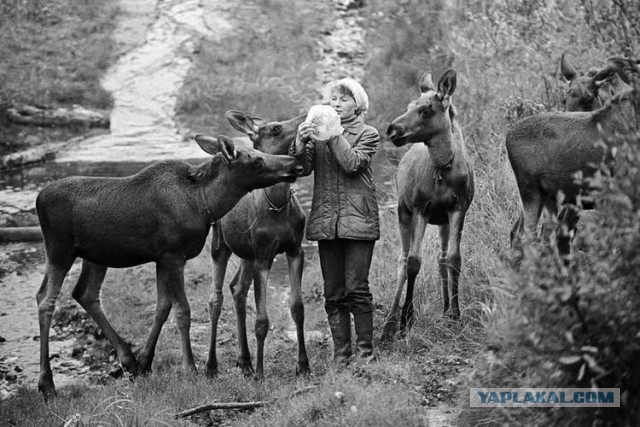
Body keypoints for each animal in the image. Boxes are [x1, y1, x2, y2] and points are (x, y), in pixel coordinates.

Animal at [35, 135, 304, 399]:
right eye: (257, 160)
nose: (294, 164)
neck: (204, 203)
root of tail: (38, 199)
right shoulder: (173, 255)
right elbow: (183, 311)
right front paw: (191, 368)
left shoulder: (161, 258)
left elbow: (163, 307)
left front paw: (146, 362)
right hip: (59, 250)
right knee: (46, 300)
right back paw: (47, 384)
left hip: (95, 255)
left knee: (83, 293)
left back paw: (129, 360)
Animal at [205, 110, 310, 380]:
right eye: (275, 129)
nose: (305, 115)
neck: (278, 204)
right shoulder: (263, 255)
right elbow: (262, 320)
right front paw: (261, 374)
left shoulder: (295, 250)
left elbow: (297, 308)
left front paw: (303, 365)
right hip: (221, 245)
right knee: (216, 298)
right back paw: (212, 365)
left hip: (246, 254)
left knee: (237, 289)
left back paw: (244, 360)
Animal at [381, 69, 475, 342]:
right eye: (408, 106)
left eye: (425, 109)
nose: (392, 129)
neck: (444, 167)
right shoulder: (420, 208)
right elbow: (414, 261)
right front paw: (406, 319)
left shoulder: (458, 209)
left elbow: (453, 259)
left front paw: (455, 314)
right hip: (403, 211)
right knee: (402, 261)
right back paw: (389, 323)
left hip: (441, 221)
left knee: (441, 260)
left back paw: (445, 309)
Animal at [508, 58, 639, 258]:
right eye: (564, 98)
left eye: (588, 97)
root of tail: (507, 136)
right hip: (531, 191)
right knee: (526, 237)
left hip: (550, 198)